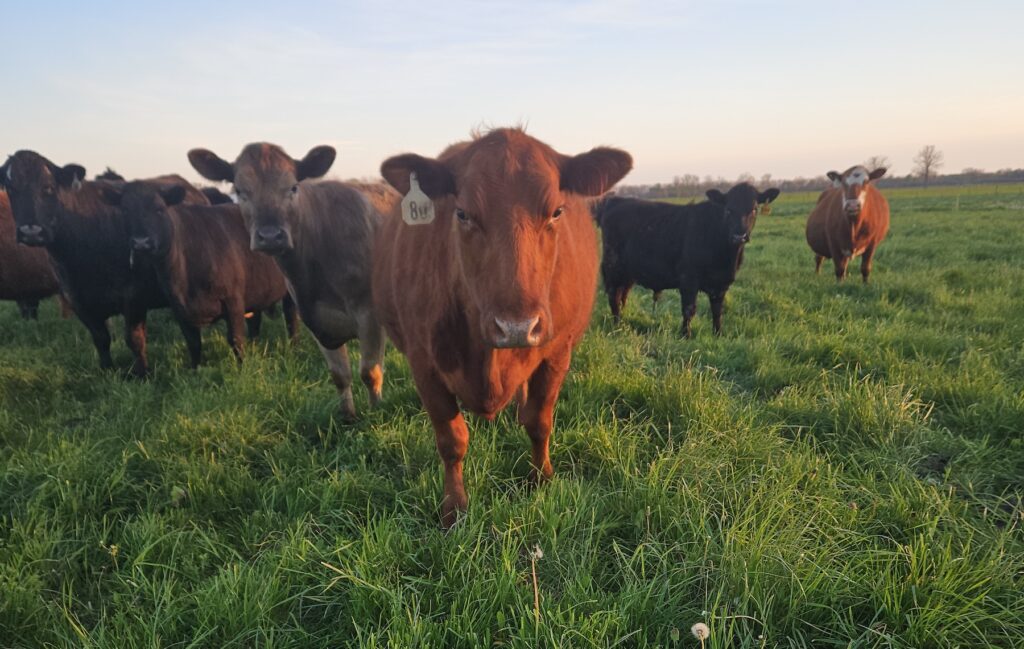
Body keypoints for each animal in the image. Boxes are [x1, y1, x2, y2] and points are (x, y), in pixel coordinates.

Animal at [0, 150, 207, 377]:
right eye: (11, 188)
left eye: (49, 187)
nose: (31, 231)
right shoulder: (79, 302)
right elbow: (101, 339)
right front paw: (107, 371)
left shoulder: (133, 297)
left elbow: (134, 340)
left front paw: (142, 373)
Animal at [99, 180, 298, 366]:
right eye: (125, 211)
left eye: (159, 209)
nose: (141, 242)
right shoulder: (180, 310)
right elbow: (193, 343)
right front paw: (196, 370)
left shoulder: (233, 300)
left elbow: (235, 339)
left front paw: (242, 369)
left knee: (291, 317)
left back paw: (293, 347)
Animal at [187, 142, 398, 418]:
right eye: (239, 191)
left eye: (293, 187)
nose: (270, 236)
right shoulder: (315, 320)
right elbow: (339, 375)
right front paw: (349, 418)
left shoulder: (369, 313)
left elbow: (370, 372)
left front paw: (376, 415)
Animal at [376, 127, 632, 527]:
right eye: (462, 213)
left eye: (556, 211)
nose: (516, 326)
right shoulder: (423, 362)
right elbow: (451, 440)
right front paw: (454, 508)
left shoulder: (557, 351)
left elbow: (540, 421)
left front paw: (541, 478)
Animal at [594, 183, 779, 337]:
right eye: (728, 210)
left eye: (754, 209)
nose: (739, 235)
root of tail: (614, 201)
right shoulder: (689, 279)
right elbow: (689, 309)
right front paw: (686, 335)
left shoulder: (722, 283)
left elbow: (717, 310)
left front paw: (718, 333)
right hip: (613, 267)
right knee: (614, 296)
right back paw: (618, 326)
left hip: (629, 272)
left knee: (623, 295)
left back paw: (623, 321)